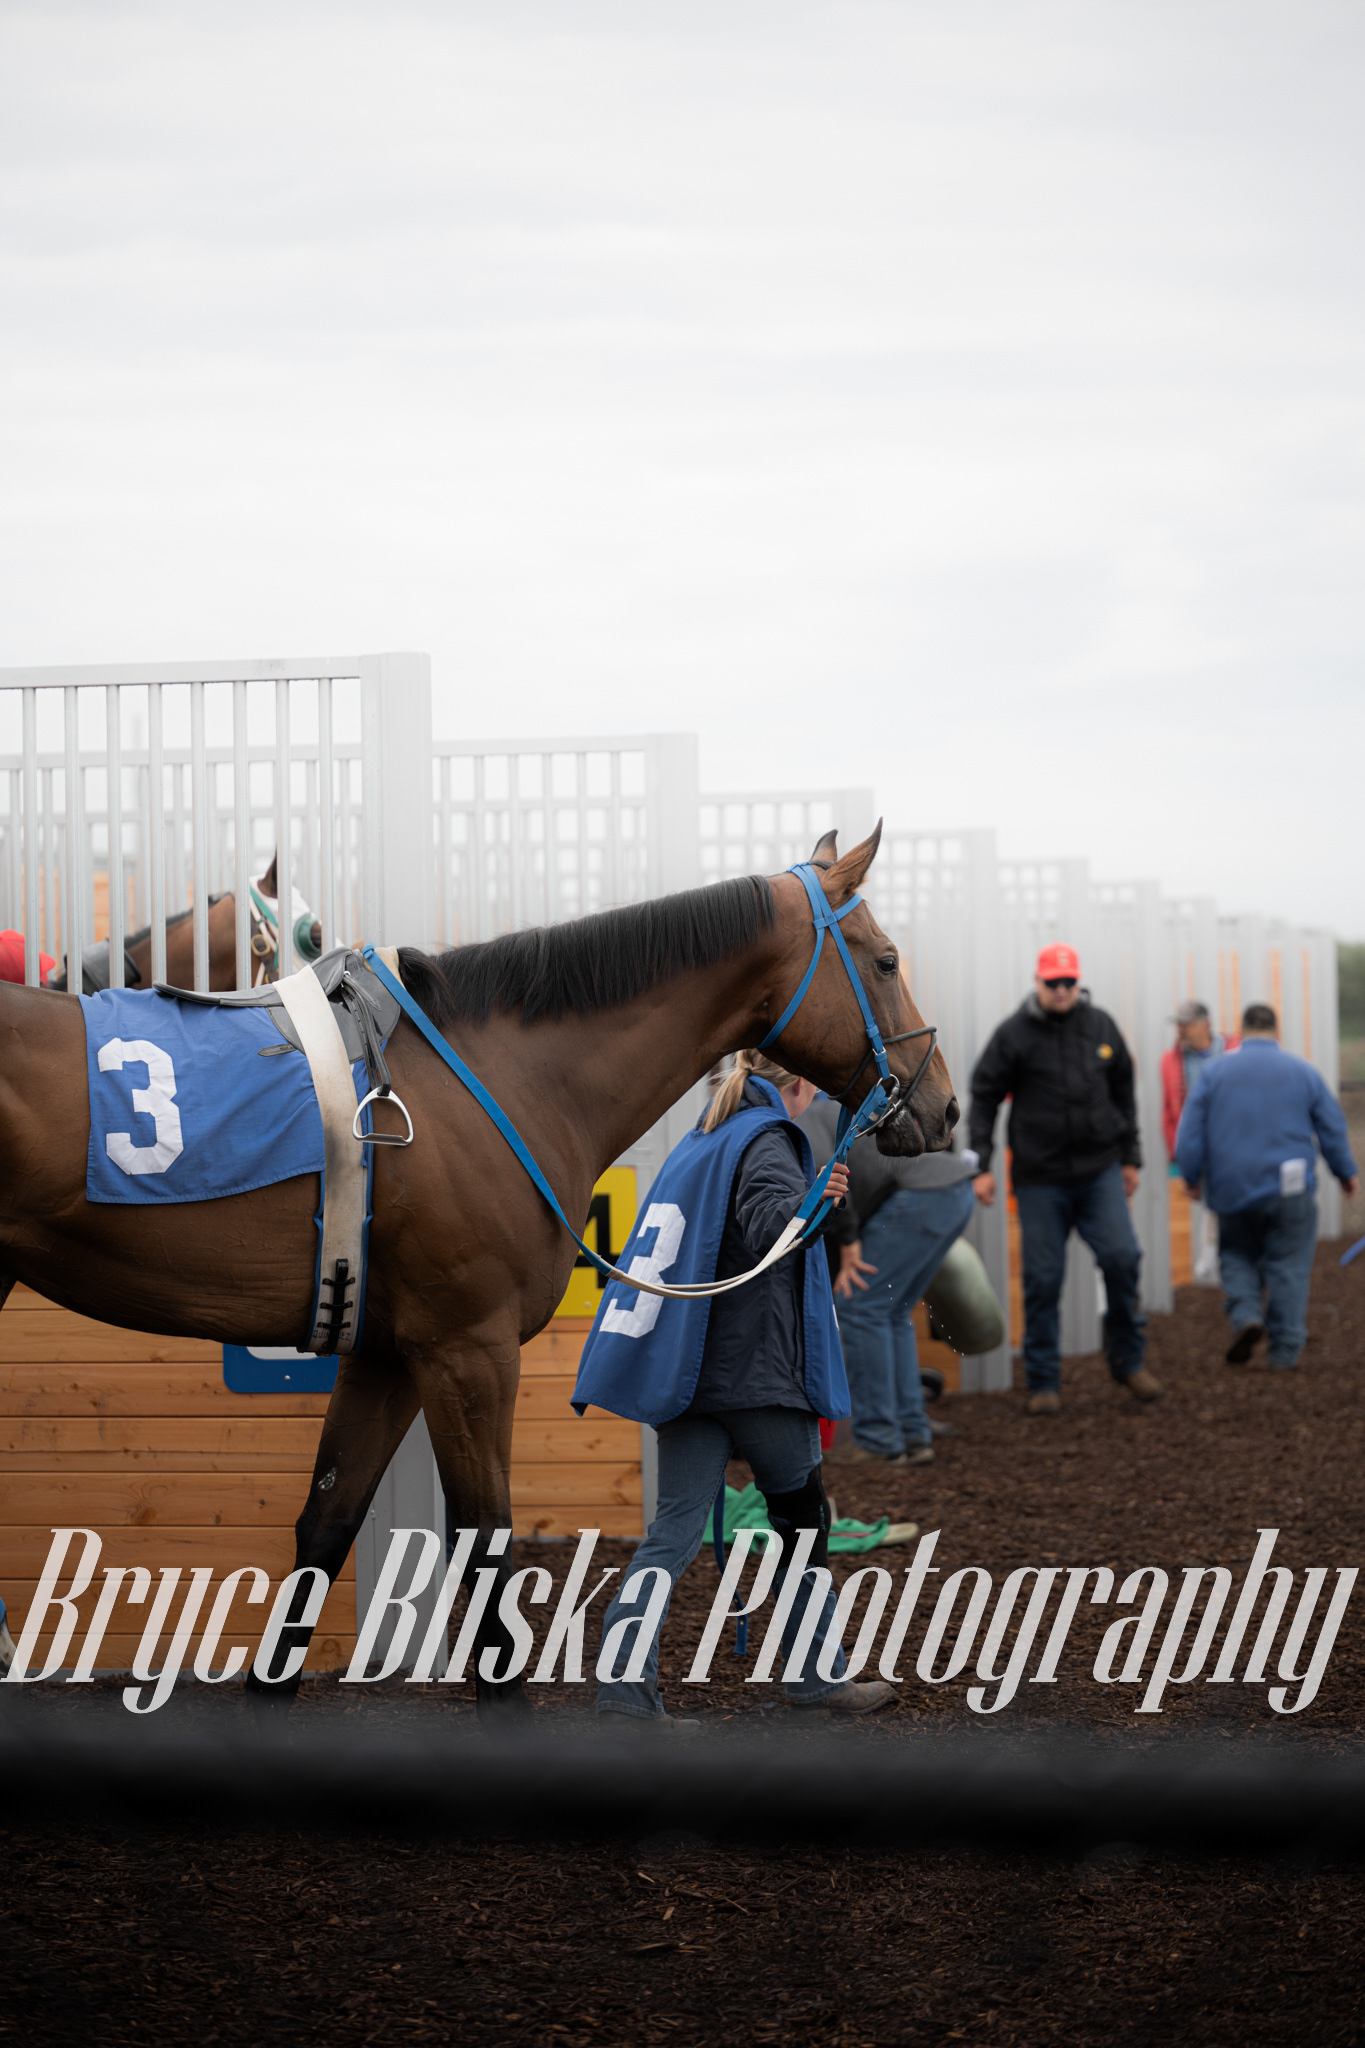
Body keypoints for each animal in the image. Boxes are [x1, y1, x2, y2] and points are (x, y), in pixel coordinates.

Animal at [0, 824, 957, 1725]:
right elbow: (484, 1538)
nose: (942, 1104)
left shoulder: (387, 1352)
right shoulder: (468, 1348)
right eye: (885, 959)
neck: (499, 1080)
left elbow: (326, 1526)